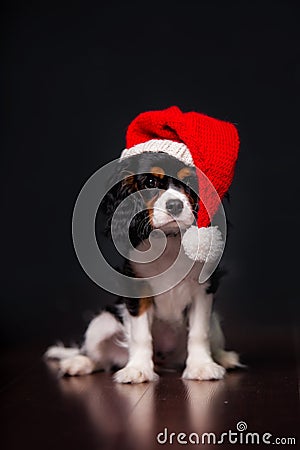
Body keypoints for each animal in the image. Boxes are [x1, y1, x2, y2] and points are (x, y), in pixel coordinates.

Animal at [45, 152, 240, 384]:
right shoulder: (137, 289)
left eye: (190, 182)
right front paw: (138, 369)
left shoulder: (203, 289)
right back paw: (79, 363)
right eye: (150, 182)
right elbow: (140, 335)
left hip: (215, 323)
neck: (169, 240)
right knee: (98, 358)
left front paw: (201, 366)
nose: (175, 205)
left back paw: (224, 357)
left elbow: (199, 332)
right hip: (101, 323)